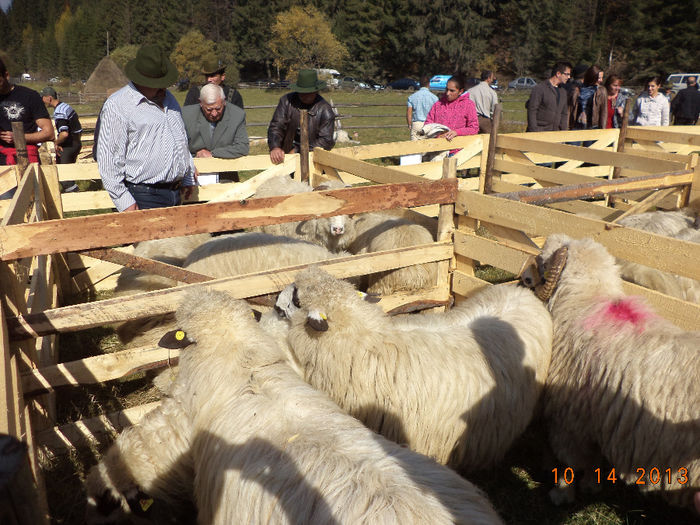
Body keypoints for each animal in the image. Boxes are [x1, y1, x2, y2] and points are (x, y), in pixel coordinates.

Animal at [520, 233, 700, 512]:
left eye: (543, 263)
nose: (523, 278)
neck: (584, 302)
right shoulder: (593, 418)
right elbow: (592, 459)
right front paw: (591, 486)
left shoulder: (568, 420)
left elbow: (569, 463)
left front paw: (562, 493)